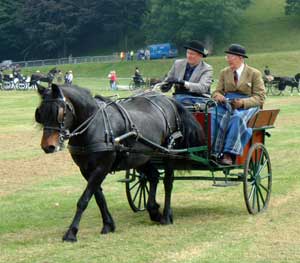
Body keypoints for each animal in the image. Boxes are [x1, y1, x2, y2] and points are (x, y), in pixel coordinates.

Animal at [34, 83, 205, 242]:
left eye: (60, 112)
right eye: (40, 113)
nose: (48, 146)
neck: (94, 125)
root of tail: (169, 101)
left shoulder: (101, 167)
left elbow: (84, 199)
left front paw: (71, 232)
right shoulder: (86, 170)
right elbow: (98, 197)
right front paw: (108, 224)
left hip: (168, 152)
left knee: (168, 182)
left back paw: (166, 216)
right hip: (143, 156)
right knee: (153, 176)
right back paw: (153, 210)